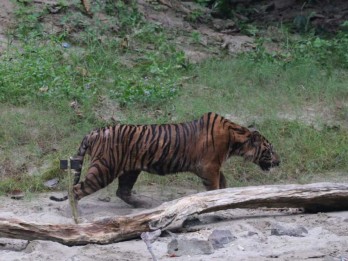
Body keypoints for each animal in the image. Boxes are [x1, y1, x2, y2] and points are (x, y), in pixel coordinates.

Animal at [50, 111, 280, 207]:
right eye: (270, 149)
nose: (279, 161)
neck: (235, 138)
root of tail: (94, 132)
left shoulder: (214, 167)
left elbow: (223, 182)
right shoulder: (209, 167)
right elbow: (215, 186)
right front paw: (215, 199)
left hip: (130, 170)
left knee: (121, 191)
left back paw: (142, 205)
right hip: (104, 169)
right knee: (77, 189)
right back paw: (76, 215)